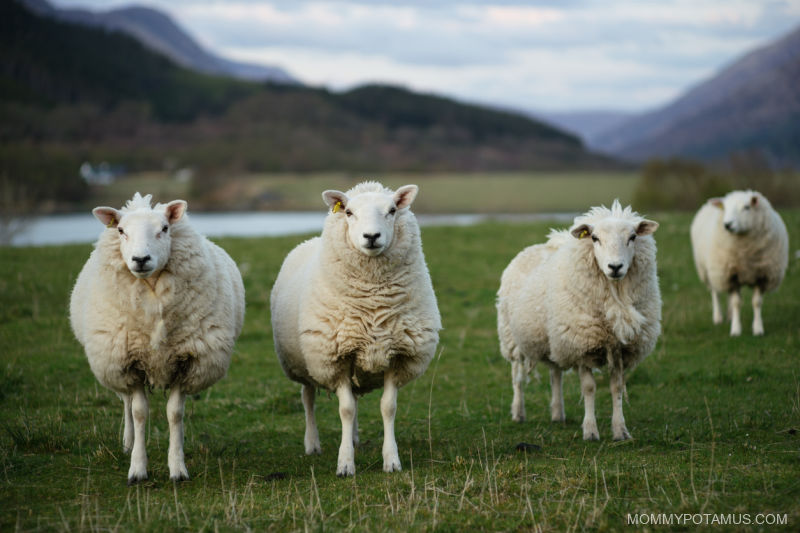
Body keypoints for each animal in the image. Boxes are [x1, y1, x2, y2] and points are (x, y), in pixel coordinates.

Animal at [69, 193, 244, 484]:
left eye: (164, 228)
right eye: (121, 230)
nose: (141, 258)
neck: (152, 296)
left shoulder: (186, 361)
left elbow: (175, 414)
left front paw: (177, 467)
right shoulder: (131, 363)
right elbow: (139, 413)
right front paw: (137, 468)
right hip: (115, 363)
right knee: (127, 403)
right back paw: (128, 443)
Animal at [272, 181, 440, 476]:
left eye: (392, 210)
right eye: (349, 212)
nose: (371, 236)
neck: (373, 302)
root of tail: (308, 241)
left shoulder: (397, 354)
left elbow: (388, 407)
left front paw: (391, 460)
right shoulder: (336, 357)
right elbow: (346, 410)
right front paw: (345, 464)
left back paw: (354, 438)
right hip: (306, 362)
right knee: (308, 398)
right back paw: (312, 444)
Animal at [494, 201, 664, 440]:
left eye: (632, 237)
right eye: (594, 238)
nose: (615, 267)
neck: (615, 298)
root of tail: (537, 247)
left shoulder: (619, 349)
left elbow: (616, 388)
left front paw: (620, 431)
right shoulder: (582, 345)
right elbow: (589, 388)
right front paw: (590, 431)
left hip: (554, 338)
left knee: (555, 374)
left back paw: (558, 413)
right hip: (512, 338)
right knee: (518, 377)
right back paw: (518, 412)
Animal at [692, 189, 792, 334]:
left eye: (746, 207)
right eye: (725, 208)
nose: (727, 225)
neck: (745, 253)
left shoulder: (762, 275)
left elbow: (756, 302)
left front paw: (758, 328)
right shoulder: (731, 275)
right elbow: (736, 303)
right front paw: (736, 330)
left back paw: (729, 316)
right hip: (710, 271)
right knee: (715, 292)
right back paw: (718, 317)